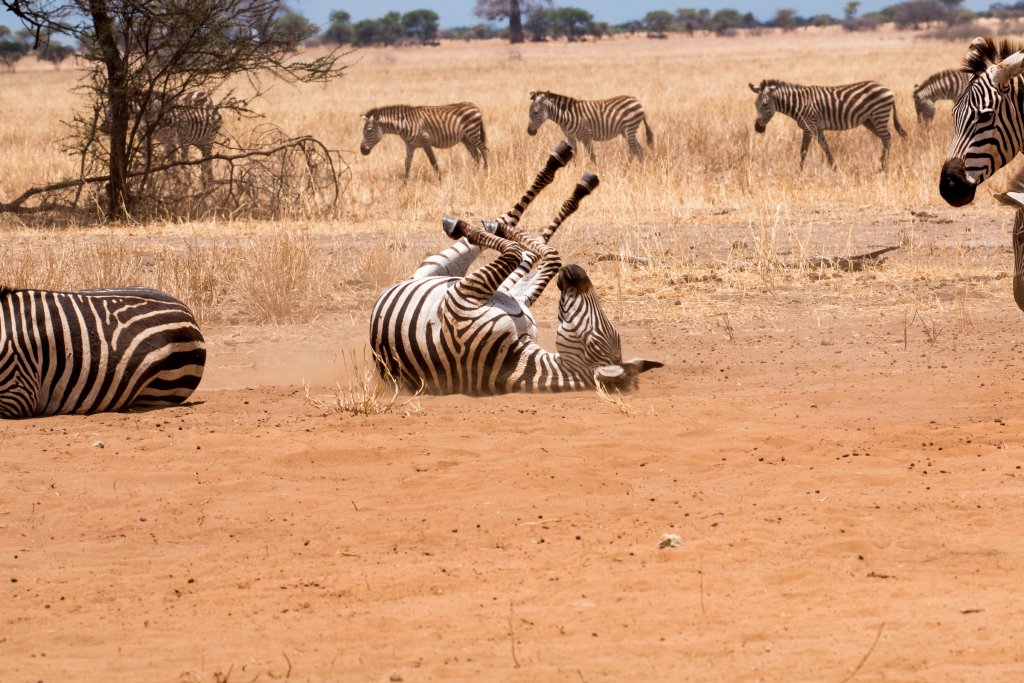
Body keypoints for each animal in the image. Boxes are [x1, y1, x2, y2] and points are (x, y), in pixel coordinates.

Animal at [360, 102, 488, 179]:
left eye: (369, 131)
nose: (362, 151)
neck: (405, 124)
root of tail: (474, 106)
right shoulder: (410, 145)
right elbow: (407, 163)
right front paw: (404, 183)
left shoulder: (426, 141)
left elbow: (433, 161)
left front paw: (440, 180)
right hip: (465, 138)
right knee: (475, 154)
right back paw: (475, 174)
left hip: (472, 133)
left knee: (484, 150)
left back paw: (486, 172)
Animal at [369, 141, 662, 395]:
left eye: (592, 341)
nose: (577, 272)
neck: (515, 354)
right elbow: (547, 255)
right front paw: (502, 230)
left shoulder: (463, 296)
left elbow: (515, 251)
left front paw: (479, 228)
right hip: (489, 287)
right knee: (535, 259)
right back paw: (565, 178)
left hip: (444, 271)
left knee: (516, 242)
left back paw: (473, 223)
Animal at [749, 79, 907, 170]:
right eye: (755, 104)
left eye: (765, 104)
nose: (757, 128)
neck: (799, 103)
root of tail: (888, 88)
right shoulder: (817, 128)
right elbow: (826, 148)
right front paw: (835, 169)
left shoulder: (809, 126)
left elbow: (803, 151)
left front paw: (799, 172)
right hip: (869, 120)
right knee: (886, 139)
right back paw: (881, 165)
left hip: (879, 115)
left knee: (886, 138)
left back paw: (882, 167)